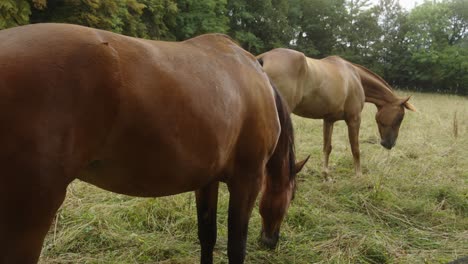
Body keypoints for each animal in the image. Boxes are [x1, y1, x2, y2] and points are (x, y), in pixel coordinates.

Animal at [0, 23, 308, 262]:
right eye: (291, 196)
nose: (270, 241)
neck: (257, 82)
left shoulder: (207, 181)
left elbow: (207, 237)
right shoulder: (247, 181)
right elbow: (236, 249)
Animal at [256, 47, 416, 179]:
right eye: (400, 117)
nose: (390, 143)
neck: (355, 78)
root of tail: (263, 58)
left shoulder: (329, 120)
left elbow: (327, 147)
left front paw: (326, 175)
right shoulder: (354, 119)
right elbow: (355, 148)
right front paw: (359, 175)